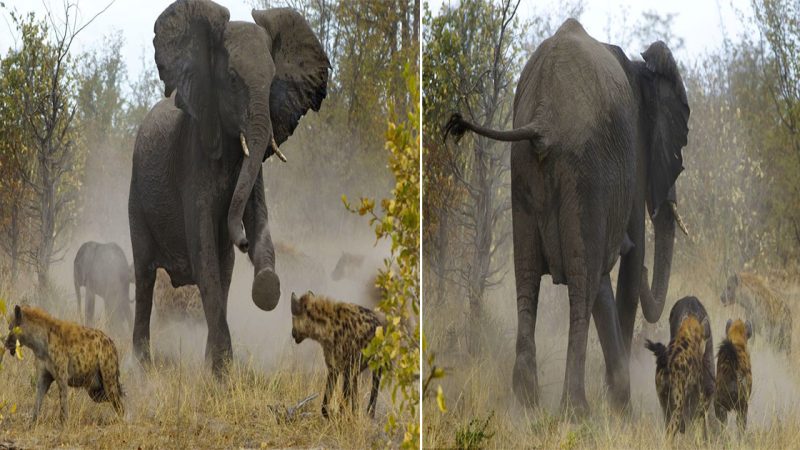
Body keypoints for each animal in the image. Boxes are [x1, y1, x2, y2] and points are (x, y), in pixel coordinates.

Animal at [130, 0, 330, 372]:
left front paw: (266, 287)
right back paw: (141, 366)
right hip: (136, 198)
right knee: (145, 277)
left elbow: (255, 224)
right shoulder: (192, 161)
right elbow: (203, 252)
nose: (242, 240)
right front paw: (222, 372)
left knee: (223, 273)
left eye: (273, 82)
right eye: (233, 79)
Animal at [446, 21, 692, 414]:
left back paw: (527, 400)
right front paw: (620, 408)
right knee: (581, 284)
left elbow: (603, 279)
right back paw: (576, 411)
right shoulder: (633, 159)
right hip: (584, 171)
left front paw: (618, 398)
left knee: (530, 278)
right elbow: (626, 265)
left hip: (525, 168)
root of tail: (543, 118)